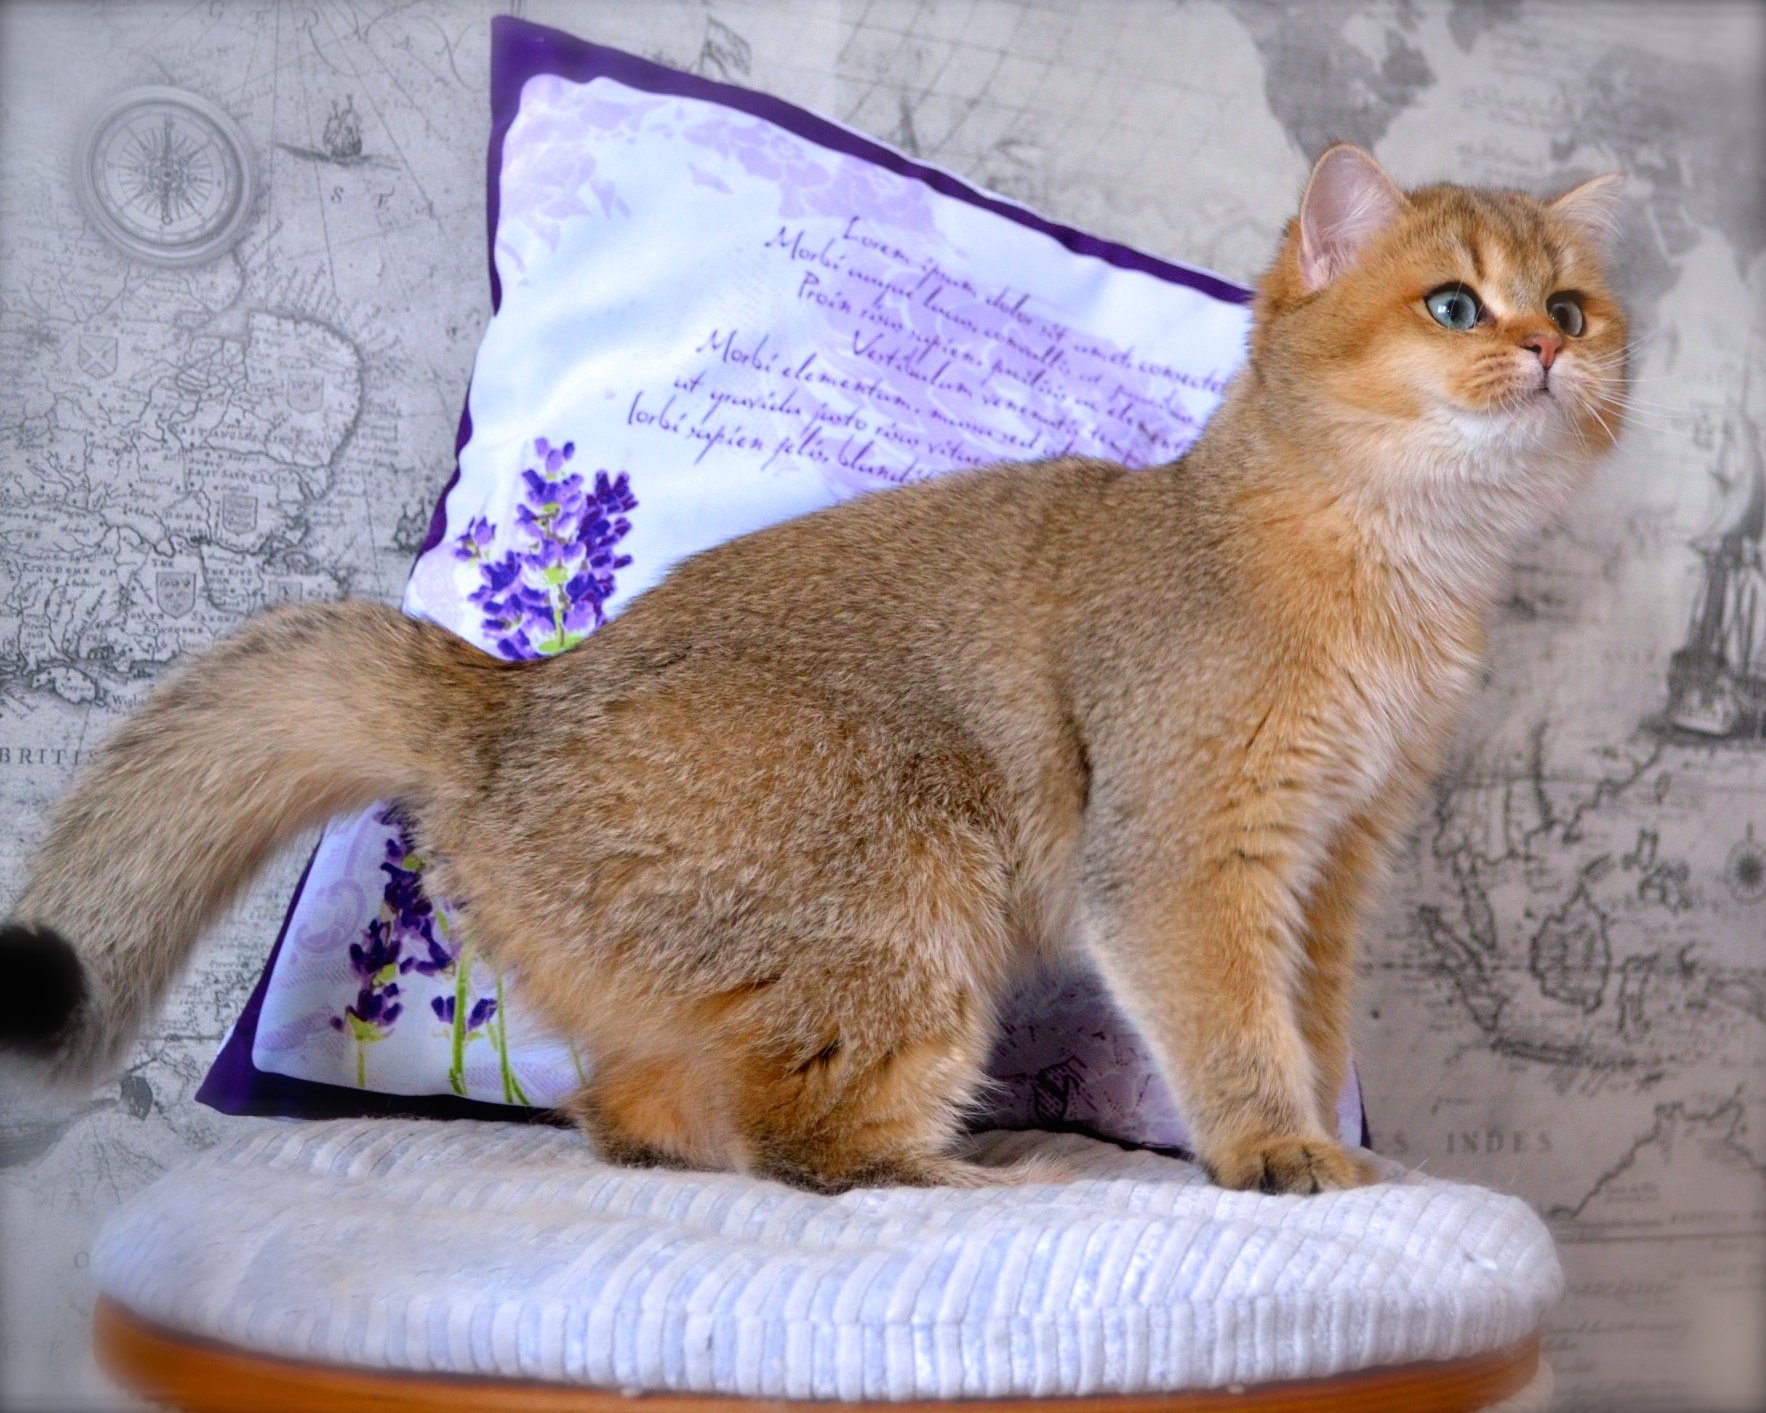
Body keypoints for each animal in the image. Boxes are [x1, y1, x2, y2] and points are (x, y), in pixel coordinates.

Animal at [0, 149, 1624, 1193]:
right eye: (1453, 305)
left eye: (1570, 307)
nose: (1549, 351)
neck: (1388, 570)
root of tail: (506, 707)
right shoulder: (1184, 854)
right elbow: (1230, 1029)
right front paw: (1276, 1154)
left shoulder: (1333, 861)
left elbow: (1308, 1023)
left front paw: (1330, 1142)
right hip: (910, 853)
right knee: (796, 1141)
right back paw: (955, 1174)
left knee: (629, 1111)